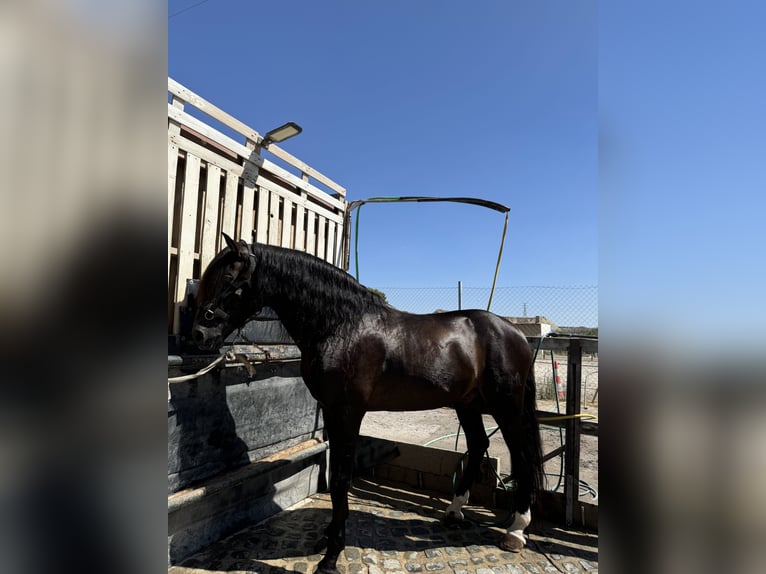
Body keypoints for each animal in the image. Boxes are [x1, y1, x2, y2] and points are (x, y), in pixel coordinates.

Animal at [192, 233, 544, 574]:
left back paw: (516, 530)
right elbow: (337, 474)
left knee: (521, 455)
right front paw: (328, 538)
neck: (342, 326)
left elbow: (341, 479)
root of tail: (515, 332)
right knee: (478, 444)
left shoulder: (347, 412)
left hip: (506, 407)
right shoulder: (332, 411)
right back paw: (455, 511)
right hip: (467, 404)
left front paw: (331, 556)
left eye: (227, 277)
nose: (199, 334)